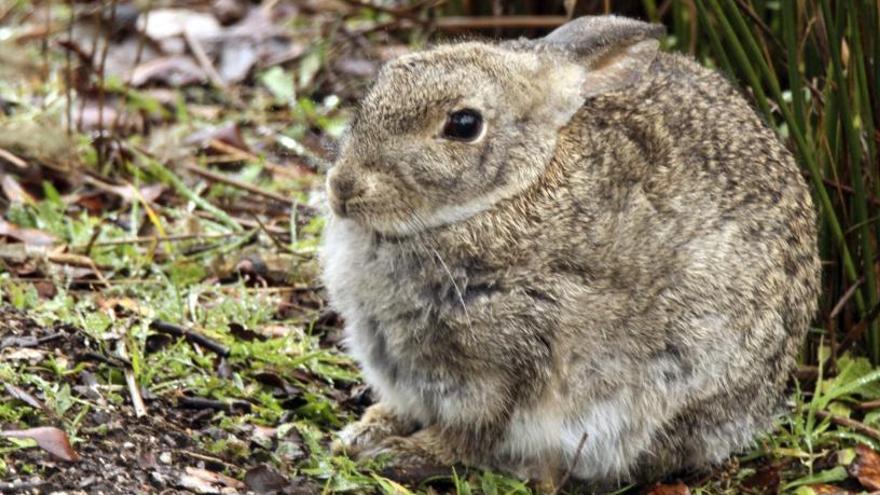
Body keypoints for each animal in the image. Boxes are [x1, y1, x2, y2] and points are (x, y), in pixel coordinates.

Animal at [320, 14, 820, 488]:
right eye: (379, 86)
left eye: (464, 125)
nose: (343, 187)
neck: (504, 196)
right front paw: (365, 431)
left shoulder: (505, 369)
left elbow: (471, 435)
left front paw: (403, 453)